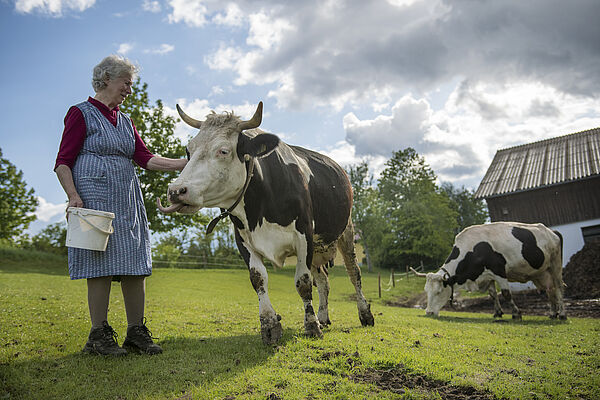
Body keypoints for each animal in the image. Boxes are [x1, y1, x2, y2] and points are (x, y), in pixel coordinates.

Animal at [159, 102, 376, 344]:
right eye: (189, 151)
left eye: (223, 151)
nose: (176, 191)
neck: (260, 208)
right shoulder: (243, 239)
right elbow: (258, 279)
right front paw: (270, 326)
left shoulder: (304, 235)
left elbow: (303, 282)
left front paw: (311, 326)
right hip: (319, 248)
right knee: (324, 281)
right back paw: (323, 317)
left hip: (346, 232)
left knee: (354, 274)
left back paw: (364, 314)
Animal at [410, 222, 564, 318]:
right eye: (426, 291)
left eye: (439, 291)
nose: (429, 312)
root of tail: (552, 231)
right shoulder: (487, 275)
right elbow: (492, 294)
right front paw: (498, 313)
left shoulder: (499, 271)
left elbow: (506, 294)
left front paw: (516, 313)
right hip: (542, 273)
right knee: (550, 290)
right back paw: (552, 314)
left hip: (555, 265)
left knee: (558, 288)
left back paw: (562, 314)